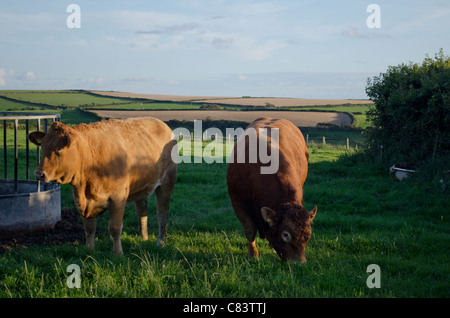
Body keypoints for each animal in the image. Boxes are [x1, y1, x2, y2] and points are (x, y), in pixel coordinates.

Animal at [28, 118, 178, 255]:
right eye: (43, 146)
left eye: (58, 149)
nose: (38, 174)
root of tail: (162, 124)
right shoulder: (80, 200)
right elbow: (89, 228)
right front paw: (89, 249)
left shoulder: (118, 197)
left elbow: (115, 227)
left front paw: (117, 252)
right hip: (139, 187)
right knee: (142, 212)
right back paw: (143, 238)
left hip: (167, 182)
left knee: (162, 214)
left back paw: (160, 242)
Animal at [225, 118, 316, 262]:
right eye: (285, 235)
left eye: (308, 235)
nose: (299, 263)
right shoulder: (238, 203)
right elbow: (250, 230)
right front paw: (253, 255)